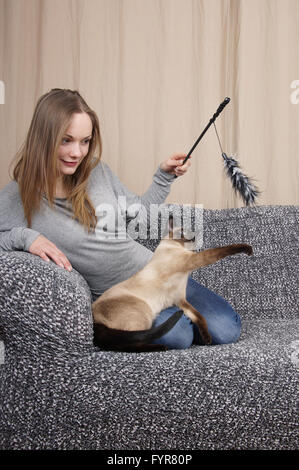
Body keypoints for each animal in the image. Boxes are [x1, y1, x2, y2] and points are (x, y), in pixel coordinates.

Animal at [93, 215, 253, 350]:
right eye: (182, 232)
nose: (193, 236)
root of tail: (95, 319)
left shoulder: (180, 301)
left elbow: (199, 316)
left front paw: (207, 338)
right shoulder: (193, 260)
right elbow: (223, 250)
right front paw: (247, 249)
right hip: (143, 316)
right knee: (126, 344)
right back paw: (160, 347)